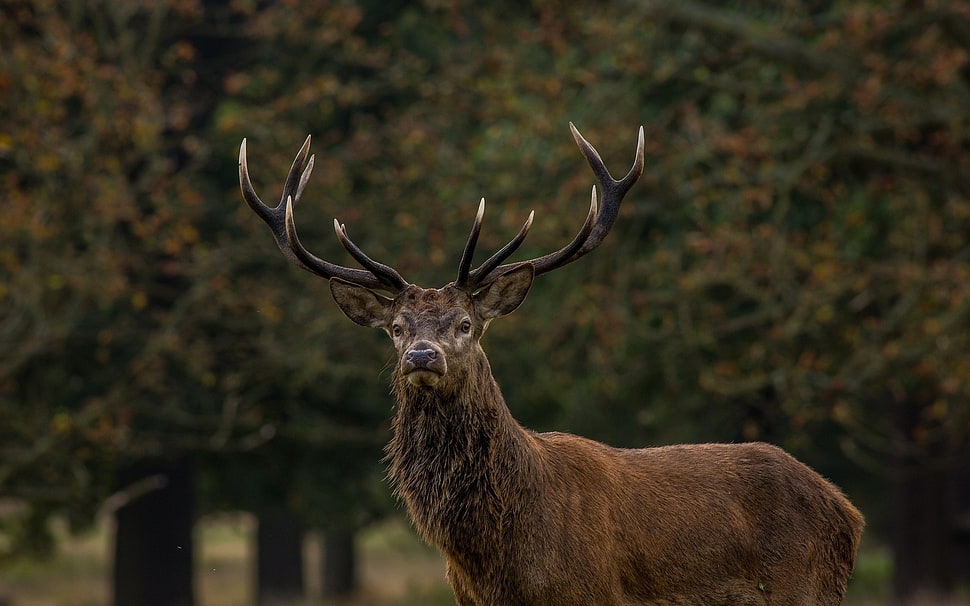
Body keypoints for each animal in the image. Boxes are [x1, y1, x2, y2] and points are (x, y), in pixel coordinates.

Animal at [238, 124, 864, 606]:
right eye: (397, 329)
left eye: (464, 324)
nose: (421, 356)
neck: (499, 556)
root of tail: (847, 512)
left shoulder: (592, 594)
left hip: (803, 590)